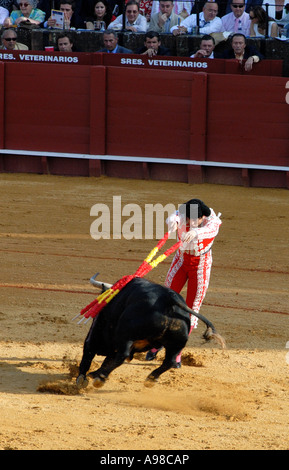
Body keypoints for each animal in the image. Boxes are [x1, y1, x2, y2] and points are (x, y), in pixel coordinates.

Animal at [75, 278, 224, 388]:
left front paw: (82, 378)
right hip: (176, 343)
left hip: (126, 335)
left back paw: (100, 377)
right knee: (169, 361)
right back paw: (151, 379)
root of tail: (169, 299)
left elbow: (88, 356)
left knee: (122, 355)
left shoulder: (94, 337)